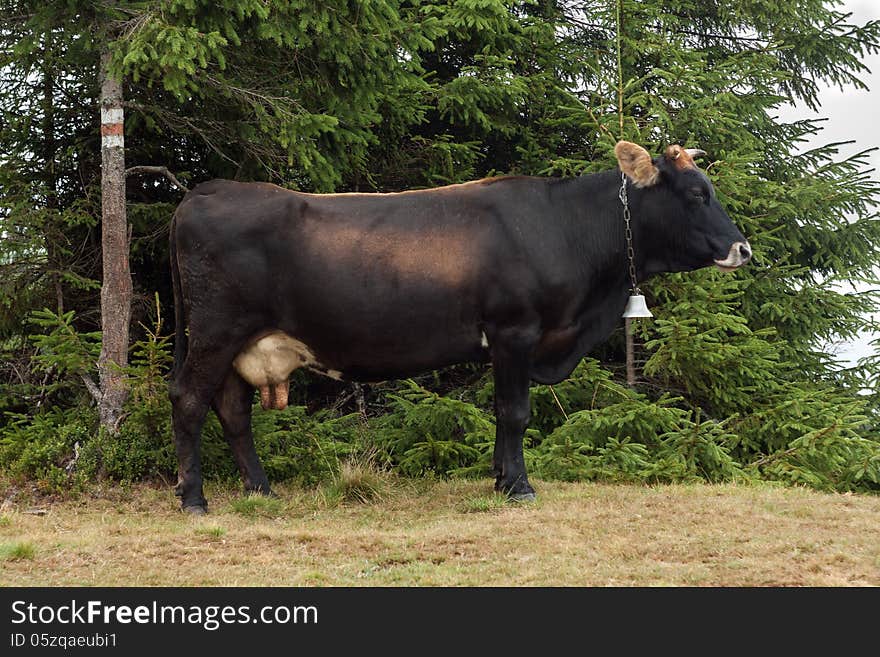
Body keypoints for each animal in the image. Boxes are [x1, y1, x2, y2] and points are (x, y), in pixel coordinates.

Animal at [170, 141, 748, 512]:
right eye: (697, 194)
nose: (742, 249)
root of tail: (207, 191)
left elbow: (500, 413)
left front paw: (499, 478)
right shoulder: (515, 330)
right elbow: (515, 412)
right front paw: (519, 487)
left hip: (239, 343)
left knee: (233, 411)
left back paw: (261, 490)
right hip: (215, 332)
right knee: (190, 400)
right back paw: (194, 498)